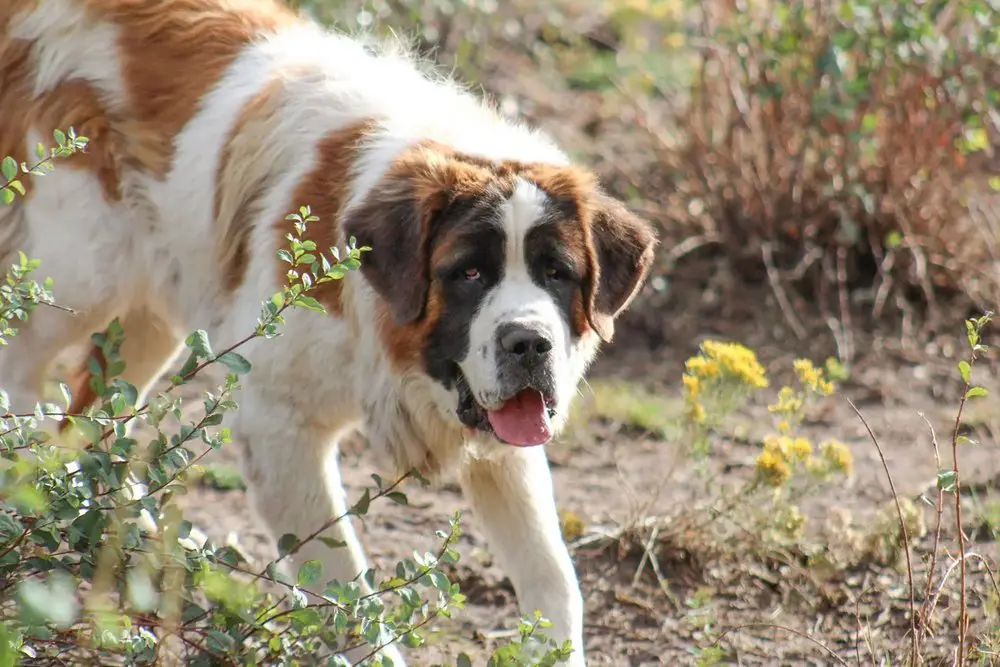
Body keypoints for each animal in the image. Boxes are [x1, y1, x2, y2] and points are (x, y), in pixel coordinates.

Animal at [0, 2, 656, 664]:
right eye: (469, 273)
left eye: (557, 274)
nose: (529, 343)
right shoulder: (279, 425)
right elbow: (348, 591)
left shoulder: (507, 446)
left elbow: (553, 578)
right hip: (80, 276)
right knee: (22, 374)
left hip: (149, 314)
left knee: (89, 418)